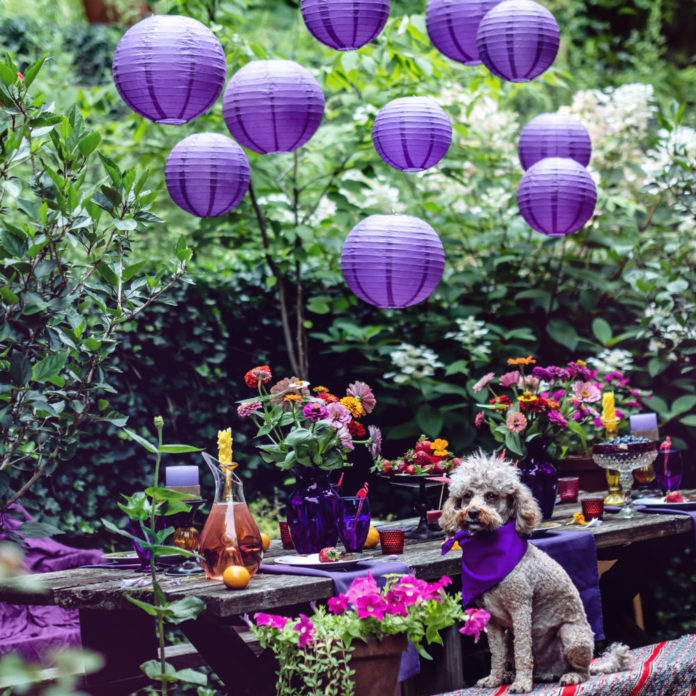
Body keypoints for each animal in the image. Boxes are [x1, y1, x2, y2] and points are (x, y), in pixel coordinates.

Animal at [440, 452, 632, 692]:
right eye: (467, 495)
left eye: (491, 495)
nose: (473, 512)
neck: (489, 551)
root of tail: (548, 672)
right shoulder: (491, 620)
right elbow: (497, 654)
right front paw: (494, 679)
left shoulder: (520, 608)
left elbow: (523, 650)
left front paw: (522, 684)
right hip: (510, 635)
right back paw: (509, 675)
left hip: (572, 635)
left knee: (584, 671)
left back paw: (570, 676)